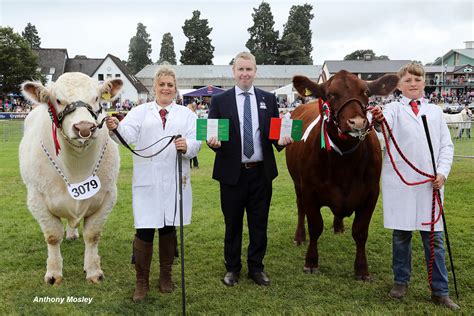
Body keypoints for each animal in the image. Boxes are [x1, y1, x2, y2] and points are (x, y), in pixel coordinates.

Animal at [20, 73, 124, 286]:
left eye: (96, 98)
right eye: (58, 100)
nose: (84, 127)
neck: (77, 167)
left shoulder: (108, 196)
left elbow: (92, 235)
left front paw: (93, 272)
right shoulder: (36, 199)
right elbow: (52, 236)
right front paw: (53, 274)